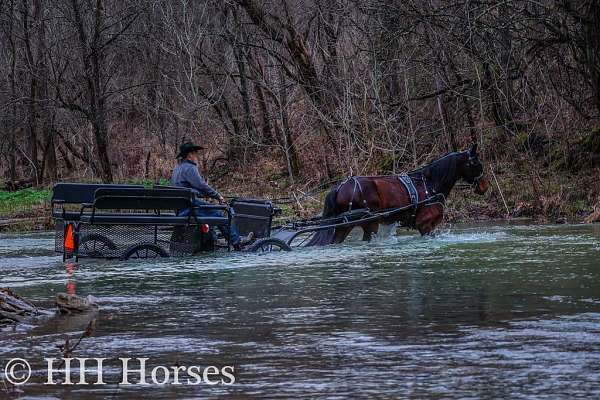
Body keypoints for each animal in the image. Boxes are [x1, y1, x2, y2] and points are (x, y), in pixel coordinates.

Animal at [308, 144, 490, 244]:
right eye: (476, 163)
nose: (485, 186)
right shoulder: (425, 224)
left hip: (343, 226)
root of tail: (340, 187)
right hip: (369, 223)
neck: (429, 184)